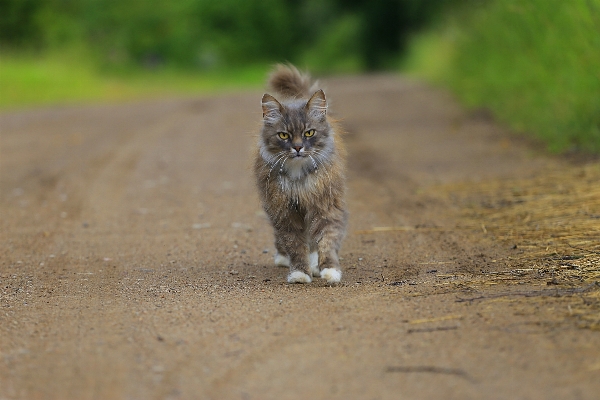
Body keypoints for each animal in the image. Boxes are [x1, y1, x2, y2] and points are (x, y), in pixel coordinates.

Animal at [253, 65, 346, 284]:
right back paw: (283, 258)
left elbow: (326, 241)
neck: (299, 177)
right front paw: (300, 273)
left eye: (309, 133)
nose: (297, 147)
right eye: (283, 135)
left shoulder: (326, 206)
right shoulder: (284, 211)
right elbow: (294, 244)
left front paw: (329, 271)